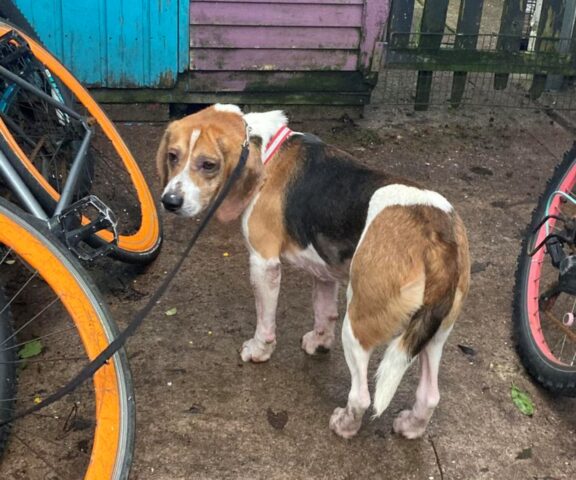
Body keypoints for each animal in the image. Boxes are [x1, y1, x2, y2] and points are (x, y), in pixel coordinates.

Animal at [156, 105, 468, 438]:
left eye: (208, 165)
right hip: (433, 333)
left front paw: (259, 350)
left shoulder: (263, 263)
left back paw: (345, 425)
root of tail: (435, 236)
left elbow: (265, 320)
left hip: (357, 326)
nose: (170, 202)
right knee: (430, 395)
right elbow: (323, 312)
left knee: (362, 396)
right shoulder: (324, 272)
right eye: (173, 156)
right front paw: (319, 343)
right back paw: (411, 426)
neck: (266, 149)